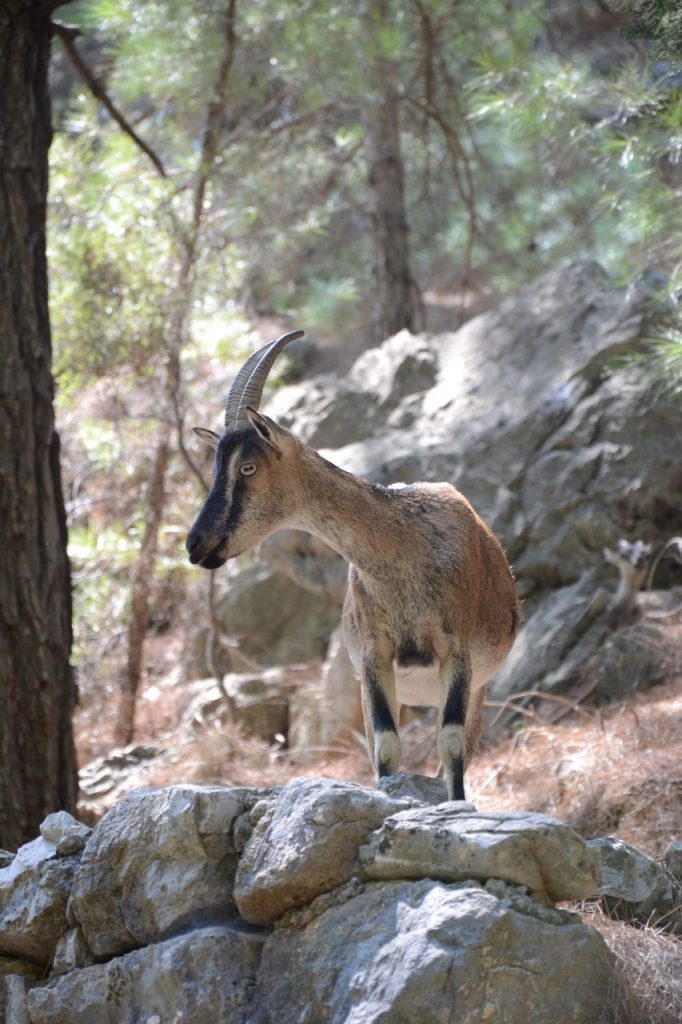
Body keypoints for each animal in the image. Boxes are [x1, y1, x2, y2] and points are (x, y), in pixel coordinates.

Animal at [186, 329, 520, 798]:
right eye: (217, 467)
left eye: (247, 467)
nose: (196, 543)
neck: (404, 553)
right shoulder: (373, 655)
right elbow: (385, 747)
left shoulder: (455, 652)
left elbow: (451, 745)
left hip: (477, 689)